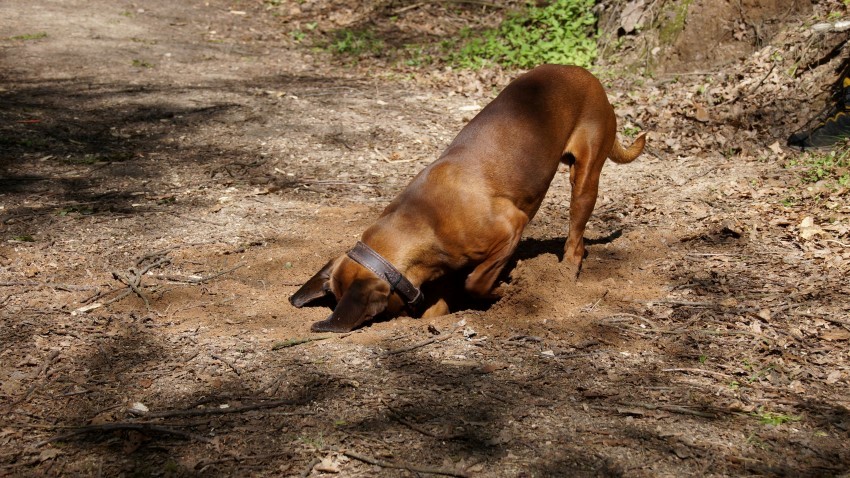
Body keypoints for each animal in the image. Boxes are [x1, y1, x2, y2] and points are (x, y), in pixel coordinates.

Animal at [290, 64, 646, 332]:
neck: (422, 219)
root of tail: (585, 74)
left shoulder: (510, 228)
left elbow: (476, 282)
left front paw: (505, 291)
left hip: (584, 180)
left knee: (576, 240)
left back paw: (566, 273)